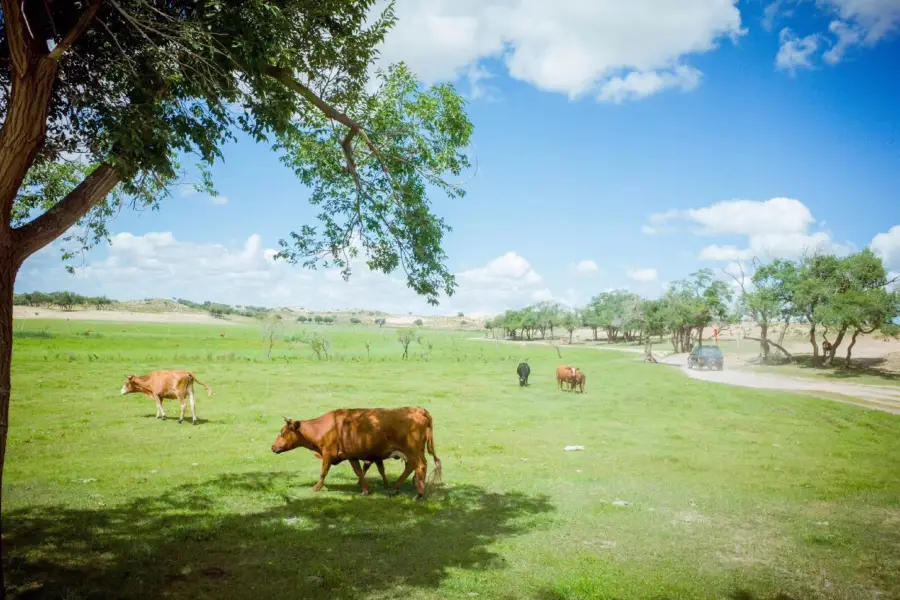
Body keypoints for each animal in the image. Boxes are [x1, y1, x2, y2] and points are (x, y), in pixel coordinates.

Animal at [274, 406, 442, 500]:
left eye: (282, 433)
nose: (272, 447)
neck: (323, 427)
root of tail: (419, 410)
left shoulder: (328, 453)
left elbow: (324, 471)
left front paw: (316, 487)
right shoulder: (351, 455)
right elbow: (359, 472)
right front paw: (365, 490)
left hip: (412, 451)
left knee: (418, 466)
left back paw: (418, 493)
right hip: (417, 451)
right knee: (416, 466)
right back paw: (403, 488)